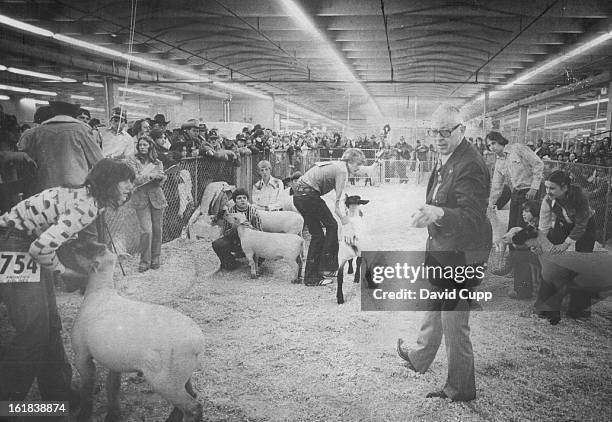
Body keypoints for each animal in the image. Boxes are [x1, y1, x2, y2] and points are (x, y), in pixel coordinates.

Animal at [70, 241, 206, 422]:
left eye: (85, 248)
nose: (71, 243)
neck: (99, 291)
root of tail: (199, 345)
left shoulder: (81, 355)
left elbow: (87, 389)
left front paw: (84, 414)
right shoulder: (114, 360)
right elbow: (112, 388)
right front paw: (113, 415)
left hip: (165, 381)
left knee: (194, 408)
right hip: (181, 375)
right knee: (190, 396)